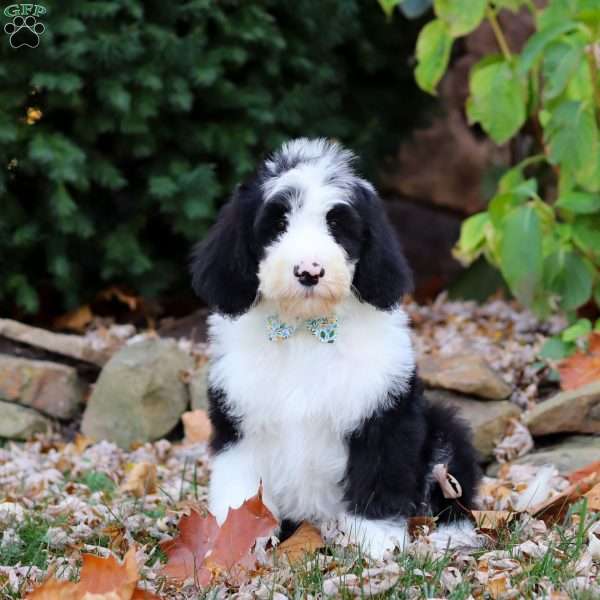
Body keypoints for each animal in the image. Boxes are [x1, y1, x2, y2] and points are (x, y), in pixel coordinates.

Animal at [190, 137, 480, 556]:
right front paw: (237, 543)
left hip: (441, 430)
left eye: (337, 225)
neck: (305, 329)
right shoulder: (239, 417)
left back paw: (450, 533)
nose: (309, 270)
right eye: (278, 225)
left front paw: (377, 541)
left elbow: (378, 470)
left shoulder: (382, 409)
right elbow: (239, 484)